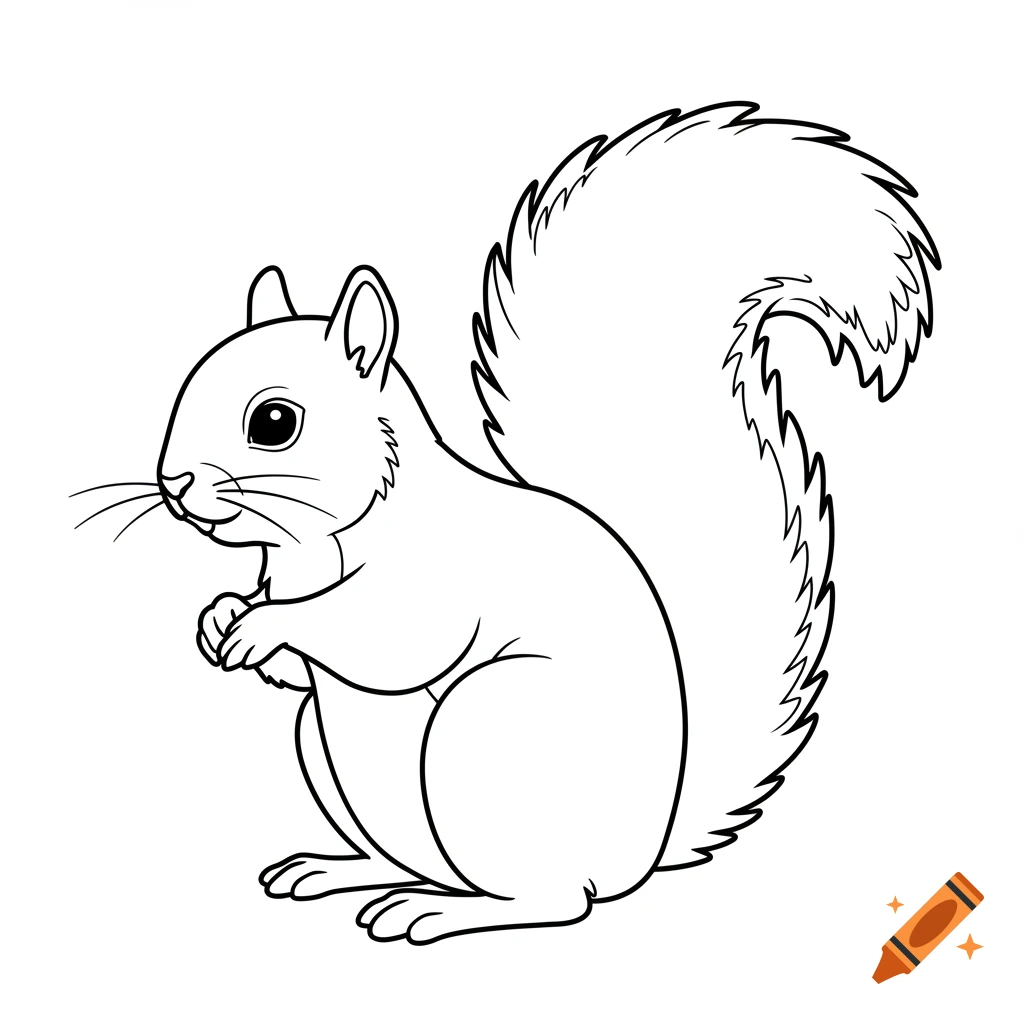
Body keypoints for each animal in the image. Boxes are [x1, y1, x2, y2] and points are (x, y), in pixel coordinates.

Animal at [150, 103, 937, 944]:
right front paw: (222, 617)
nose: (175, 484)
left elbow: (389, 643)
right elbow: (294, 674)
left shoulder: (432, 586)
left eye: (274, 422)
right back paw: (340, 871)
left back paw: (434, 911)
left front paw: (265, 626)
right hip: (326, 747)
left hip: (490, 734)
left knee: (555, 901)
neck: (313, 548)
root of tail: (640, 858)